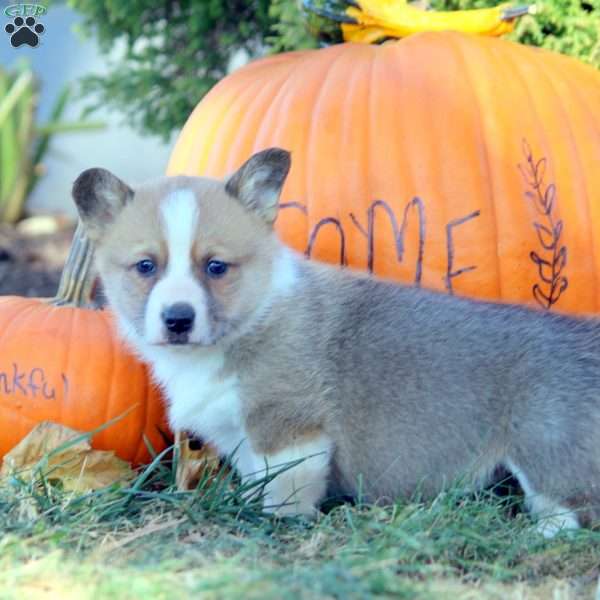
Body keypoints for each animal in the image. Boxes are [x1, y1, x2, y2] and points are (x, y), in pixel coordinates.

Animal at [74, 148, 600, 536]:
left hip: (545, 446)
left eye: (216, 266)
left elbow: (285, 489)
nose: (178, 319)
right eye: (145, 266)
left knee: (571, 509)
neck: (249, 322)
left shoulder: (291, 427)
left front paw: (276, 524)